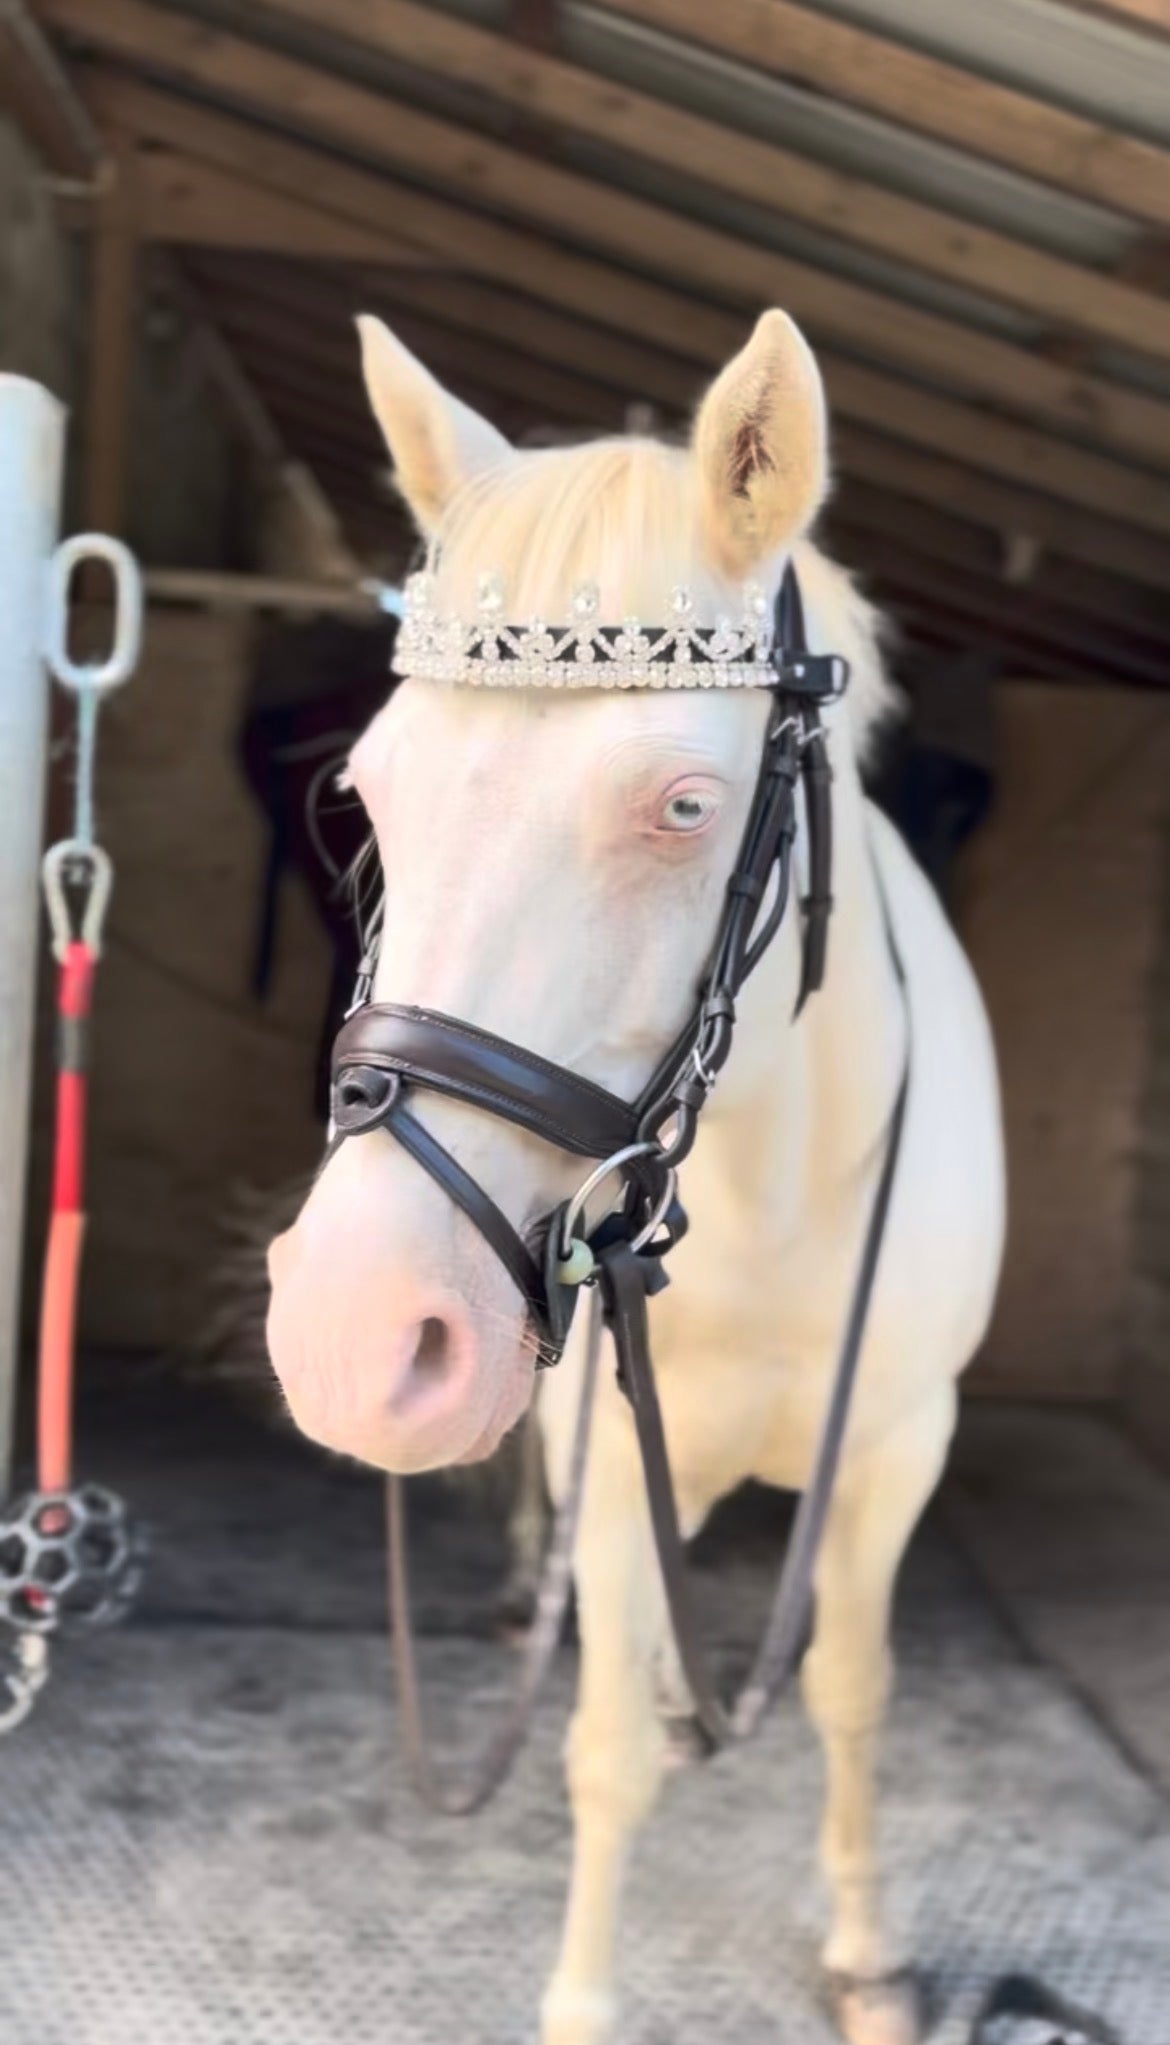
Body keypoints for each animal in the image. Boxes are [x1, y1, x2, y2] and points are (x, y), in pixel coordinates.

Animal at [266, 305, 1006, 2045]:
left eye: (683, 805)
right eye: (368, 794)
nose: (347, 1339)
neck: (774, 1190)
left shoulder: (898, 1448)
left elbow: (851, 1690)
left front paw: (865, 1951)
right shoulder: (599, 1457)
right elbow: (599, 1751)